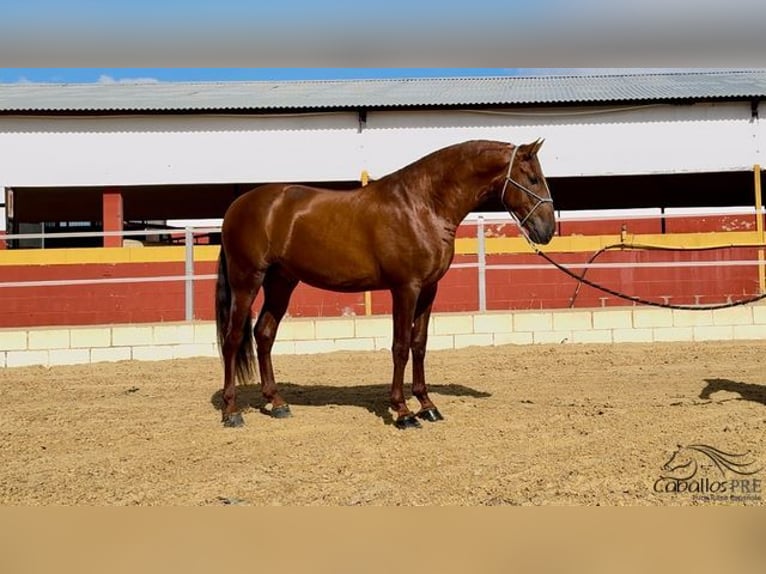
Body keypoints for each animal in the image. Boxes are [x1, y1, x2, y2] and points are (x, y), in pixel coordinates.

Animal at [216, 138, 560, 428]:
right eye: (532, 178)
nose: (547, 230)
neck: (422, 205)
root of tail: (237, 206)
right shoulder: (405, 288)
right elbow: (400, 346)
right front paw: (403, 412)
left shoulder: (429, 289)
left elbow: (419, 344)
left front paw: (427, 405)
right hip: (247, 280)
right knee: (232, 339)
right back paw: (231, 411)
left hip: (281, 282)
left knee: (264, 334)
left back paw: (277, 403)